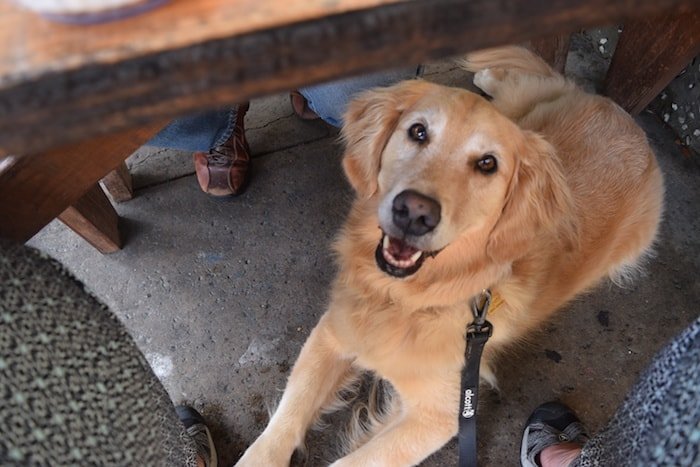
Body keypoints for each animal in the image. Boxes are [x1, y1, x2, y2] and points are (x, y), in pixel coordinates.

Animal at [234, 45, 660, 466]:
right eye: (417, 132)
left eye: (487, 163)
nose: (414, 212)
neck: (406, 299)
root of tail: (625, 119)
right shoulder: (333, 332)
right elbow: (284, 423)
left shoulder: (441, 414)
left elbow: (350, 462)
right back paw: (489, 76)